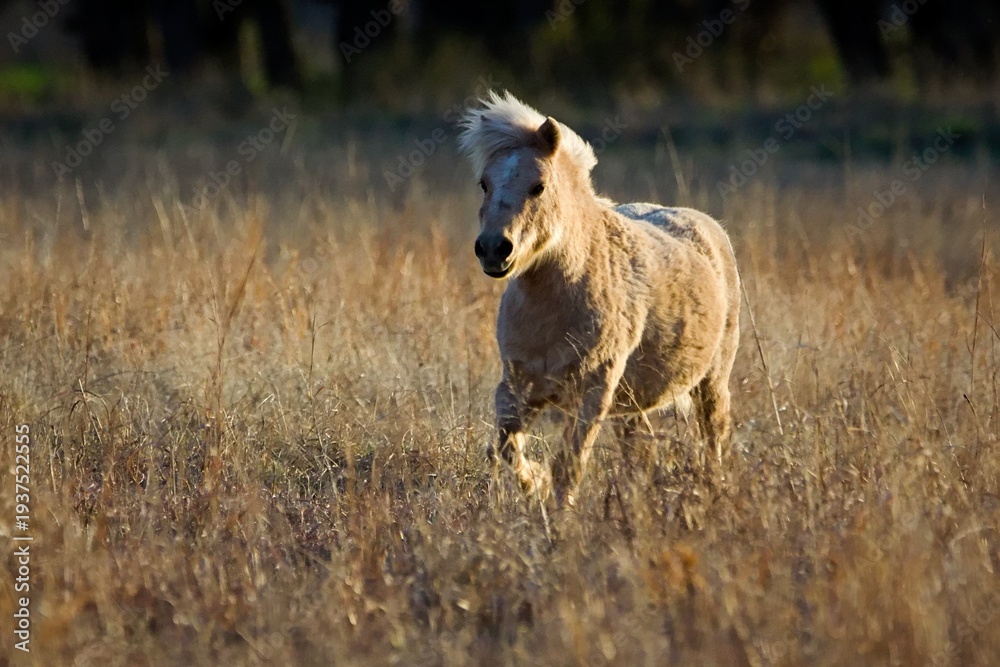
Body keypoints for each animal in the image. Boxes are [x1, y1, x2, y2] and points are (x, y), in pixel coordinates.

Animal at [458, 91, 741, 507]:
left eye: (538, 186)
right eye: (483, 184)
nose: (494, 249)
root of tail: (706, 226)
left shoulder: (592, 394)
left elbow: (568, 466)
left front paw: (557, 511)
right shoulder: (516, 386)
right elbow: (507, 447)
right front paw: (535, 485)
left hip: (711, 382)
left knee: (712, 439)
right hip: (631, 404)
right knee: (640, 448)